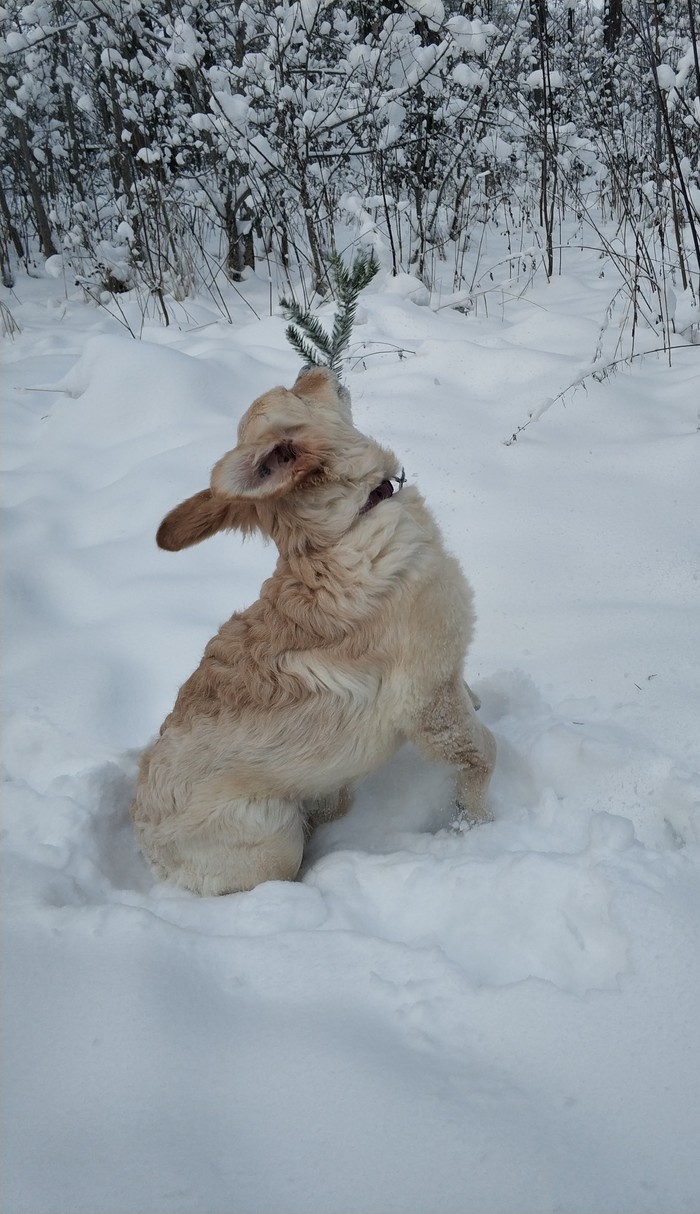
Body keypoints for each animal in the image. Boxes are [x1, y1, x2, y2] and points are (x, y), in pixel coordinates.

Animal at [129, 364, 490, 898]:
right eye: (294, 391)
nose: (310, 366)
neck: (346, 525)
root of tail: (148, 850)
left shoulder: (443, 679)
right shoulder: (426, 701)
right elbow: (480, 755)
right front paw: (482, 824)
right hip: (271, 840)